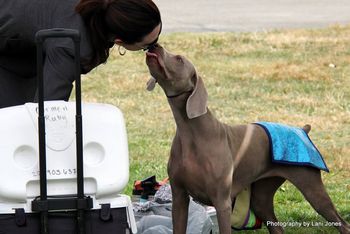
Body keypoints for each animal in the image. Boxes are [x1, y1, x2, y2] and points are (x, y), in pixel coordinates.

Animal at [144, 44, 348, 234]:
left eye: (179, 59)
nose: (154, 45)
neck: (192, 133)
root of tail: (302, 130)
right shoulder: (179, 197)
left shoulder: (222, 202)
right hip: (262, 196)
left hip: (312, 188)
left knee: (342, 223)